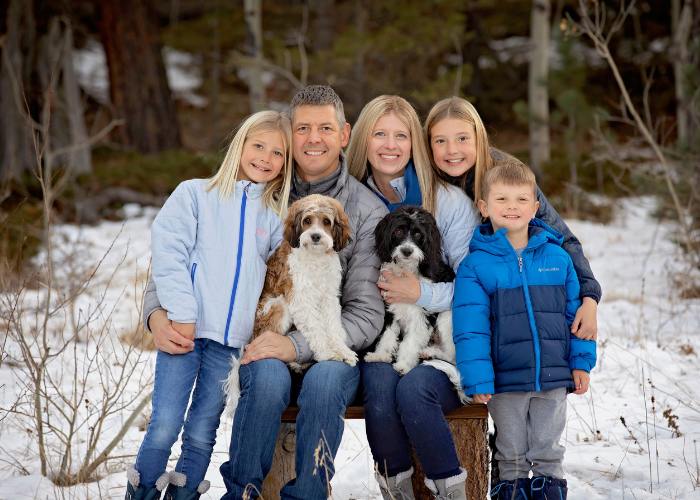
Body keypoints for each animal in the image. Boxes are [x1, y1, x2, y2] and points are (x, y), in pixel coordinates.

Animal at [224, 195, 356, 414]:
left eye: (326, 222)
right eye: (308, 220)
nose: (315, 236)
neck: (315, 257)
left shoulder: (329, 298)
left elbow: (335, 329)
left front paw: (342, 351)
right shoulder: (300, 300)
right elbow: (317, 331)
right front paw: (328, 353)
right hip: (279, 306)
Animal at [366, 206, 460, 376]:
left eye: (418, 234)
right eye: (398, 232)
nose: (407, 251)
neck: (406, 269)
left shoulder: (421, 316)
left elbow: (410, 343)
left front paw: (403, 365)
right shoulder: (391, 309)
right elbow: (388, 335)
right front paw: (381, 355)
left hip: (445, 317)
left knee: (452, 357)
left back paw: (431, 353)